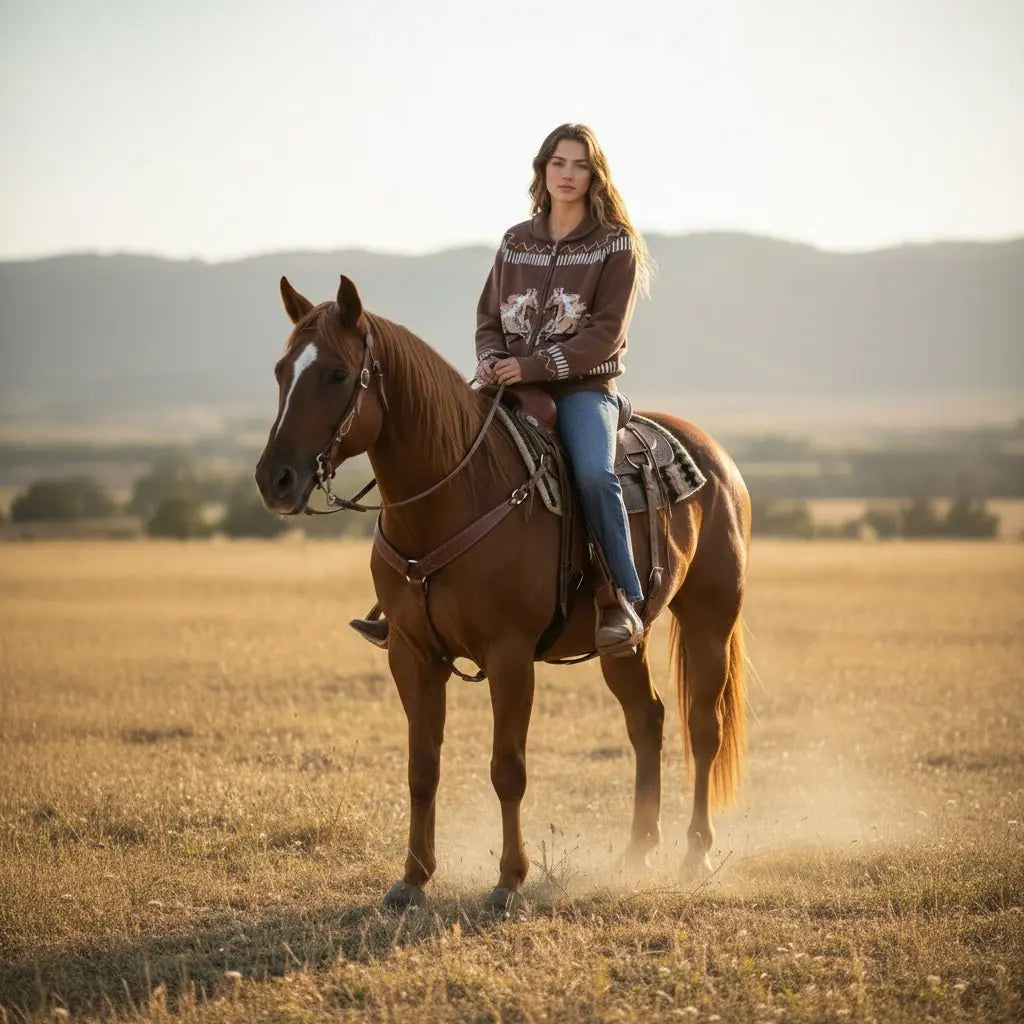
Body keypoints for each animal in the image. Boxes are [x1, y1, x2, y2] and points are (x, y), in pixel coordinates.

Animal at [255, 275, 751, 910]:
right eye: (281, 370)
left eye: (338, 374)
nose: (275, 479)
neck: (455, 494)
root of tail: (715, 457)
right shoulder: (411, 656)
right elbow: (422, 767)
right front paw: (413, 878)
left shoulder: (510, 656)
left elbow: (507, 769)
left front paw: (509, 880)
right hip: (622, 641)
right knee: (647, 720)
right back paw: (639, 850)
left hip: (712, 620)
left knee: (703, 727)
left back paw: (695, 854)